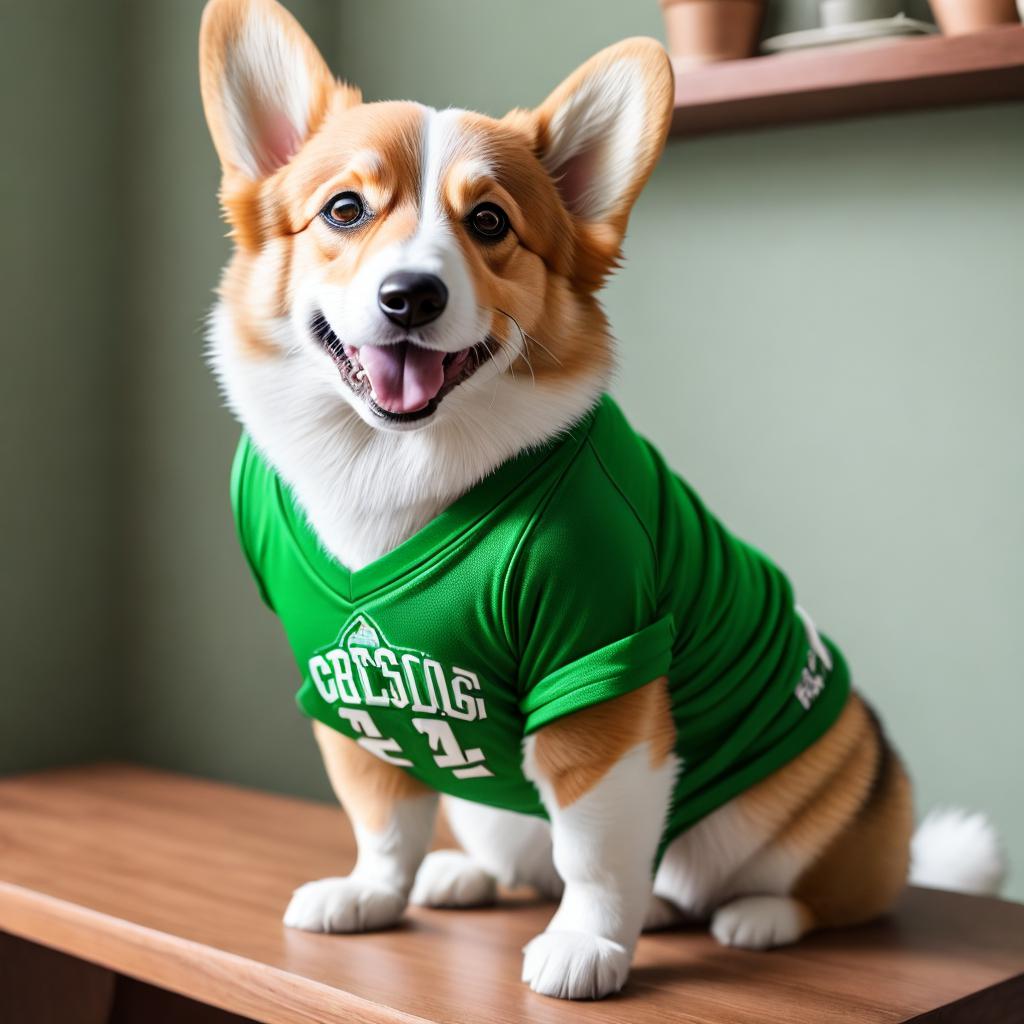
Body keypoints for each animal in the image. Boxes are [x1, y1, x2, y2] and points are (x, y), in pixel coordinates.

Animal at [195, 0, 1003, 995]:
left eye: (490, 222)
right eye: (344, 210)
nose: (410, 296)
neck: (393, 464)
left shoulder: (599, 677)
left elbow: (596, 851)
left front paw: (589, 947)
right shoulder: (346, 696)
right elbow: (383, 818)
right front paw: (374, 893)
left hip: (827, 781)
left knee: (820, 889)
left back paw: (753, 915)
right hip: (498, 810)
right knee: (523, 855)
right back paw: (467, 877)